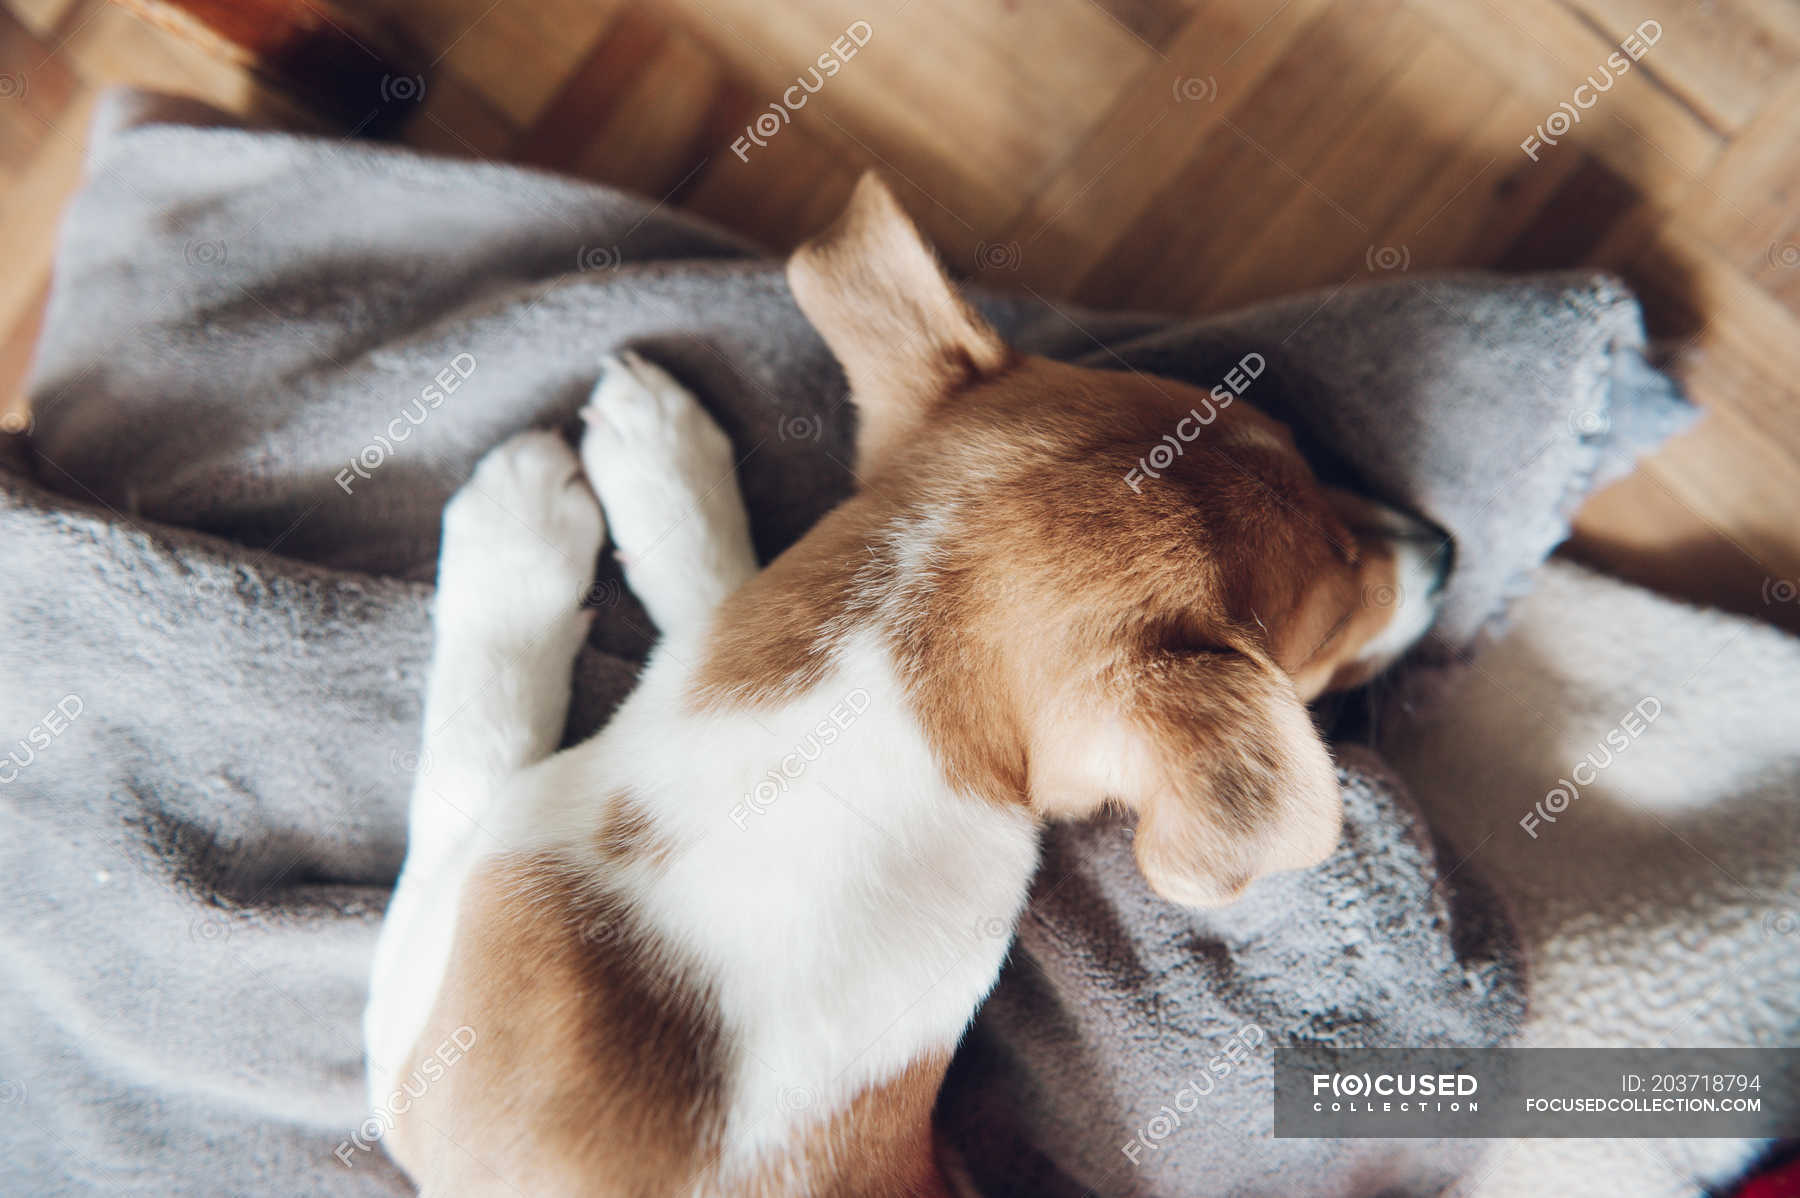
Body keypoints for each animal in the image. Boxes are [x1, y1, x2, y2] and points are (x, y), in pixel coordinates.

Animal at [361, 172, 1447, 1187]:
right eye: (1335, 616)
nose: (1446, 550)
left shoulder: (413, 1038)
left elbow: (471, 741)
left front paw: (523, 531)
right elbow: (715, 588)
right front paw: (659, 453)